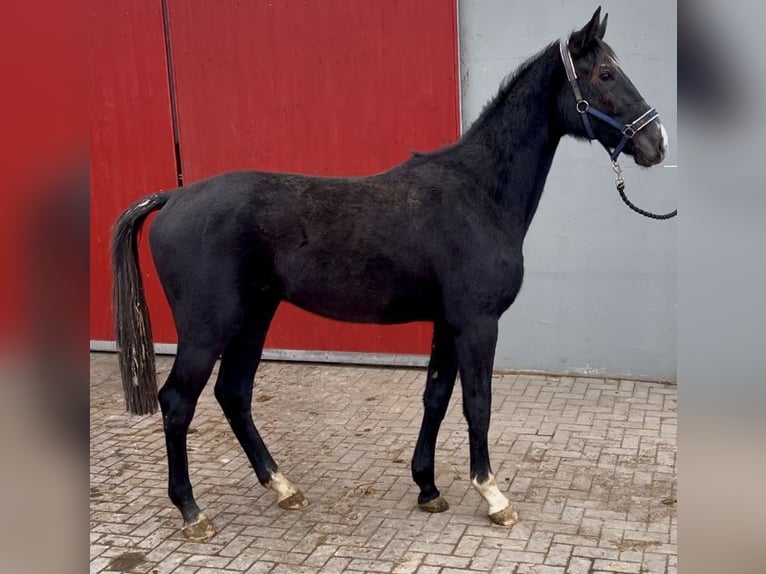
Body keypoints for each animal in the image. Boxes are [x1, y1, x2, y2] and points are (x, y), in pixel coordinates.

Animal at [111, 6, 668, 544]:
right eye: (605, 73)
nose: (656, 142)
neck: (478, 193)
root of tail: (173, 196)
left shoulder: (447, 324)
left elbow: (437, 398)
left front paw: (428, 488)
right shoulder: (477, 324)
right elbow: (478, 404)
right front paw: (493, 496)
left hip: (254, 317)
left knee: (234, 393)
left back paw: (283, 487)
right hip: (208, 328)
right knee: (178, 402)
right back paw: (192, 512)